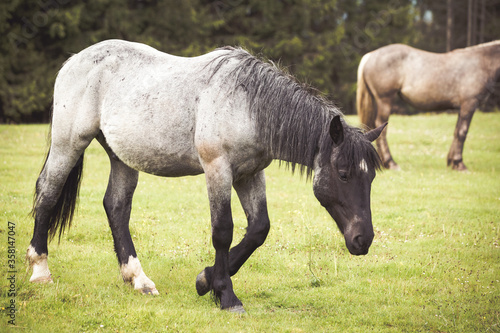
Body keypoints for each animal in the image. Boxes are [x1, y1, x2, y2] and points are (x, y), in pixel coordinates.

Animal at [27, 39, 386, 312]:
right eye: (343, 174)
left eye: (371, 179)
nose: (363, 240)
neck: (247, 104)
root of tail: (75, 60)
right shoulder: (218, 169)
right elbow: (223, 231)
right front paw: (225, 294)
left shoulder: (249, 174)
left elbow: (258, 229)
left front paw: (205, 280)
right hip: (69, 144)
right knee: (48, 193)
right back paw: (40, 270)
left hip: (122, 158)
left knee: (116, 207)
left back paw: (138, 279)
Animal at [356, 41, 500, 170]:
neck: (480, 62)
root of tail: (370, 56)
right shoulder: (469, 104)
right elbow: (462, 133)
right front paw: (459, 163)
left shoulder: (461, 108)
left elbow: (456, 131)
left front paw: (451, 162)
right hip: (385, 100)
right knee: (382, 128)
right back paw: (391, 163)